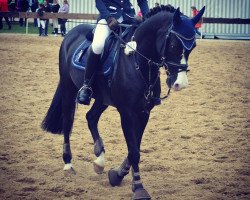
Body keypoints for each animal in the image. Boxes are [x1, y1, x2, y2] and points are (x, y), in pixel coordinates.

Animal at [41, 5, 205, 199]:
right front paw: (139, 187)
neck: (137, 62)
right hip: (68, 87)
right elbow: (134, 152)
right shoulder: (127, 113)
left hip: (102, 98)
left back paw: (99, 160)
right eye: (173, 45)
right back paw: (68, 164)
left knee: (91, 117)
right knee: (68, 122)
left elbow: (135, 147)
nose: (180, 83)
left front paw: (117, 175)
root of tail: (71, 33)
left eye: (193, 47)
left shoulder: (144, 112)